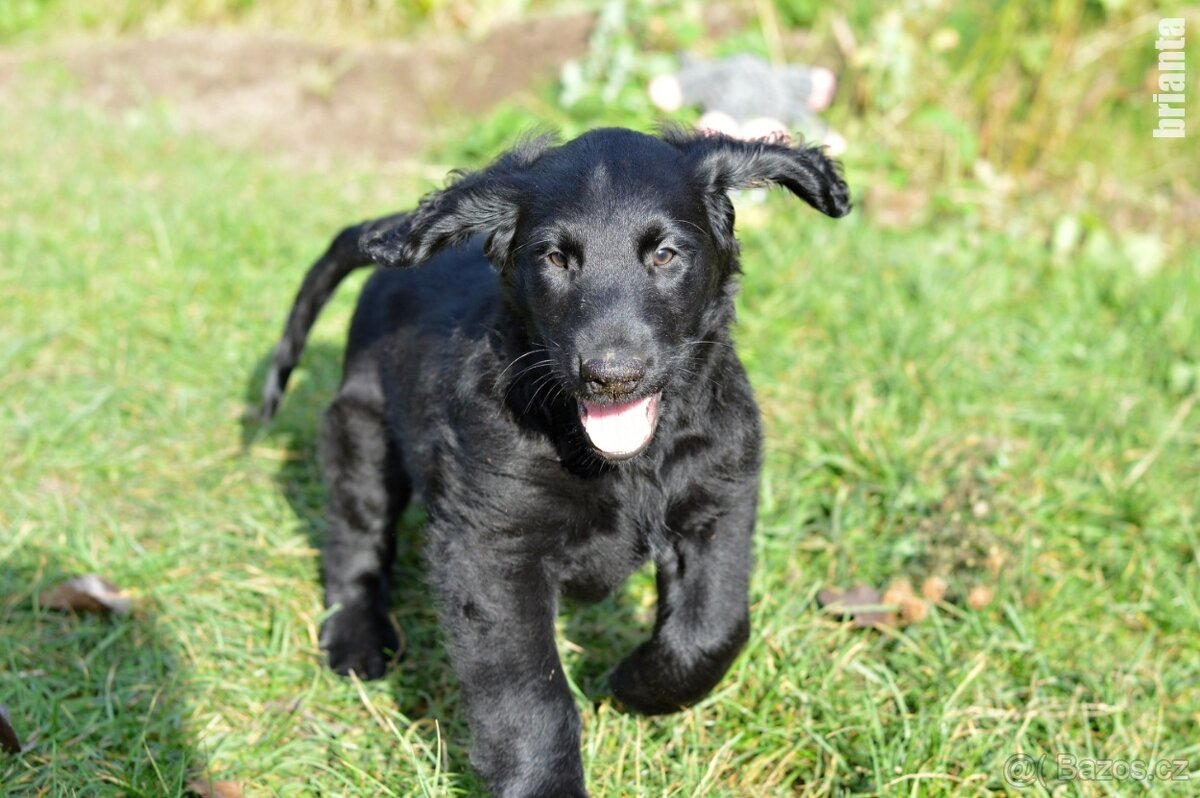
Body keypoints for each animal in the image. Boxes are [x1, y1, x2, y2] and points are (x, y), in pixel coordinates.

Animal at [259, 127, 849, 792]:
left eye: (665, 254)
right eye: (556, 259)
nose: (612, 376)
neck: (623, 462)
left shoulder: (719, 500)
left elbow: (712, 630)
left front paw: (632, 685)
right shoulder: (491, 548)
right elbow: (529, 701)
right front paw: (546, 783)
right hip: (362, 426)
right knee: (355, 535)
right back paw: (357, 639)